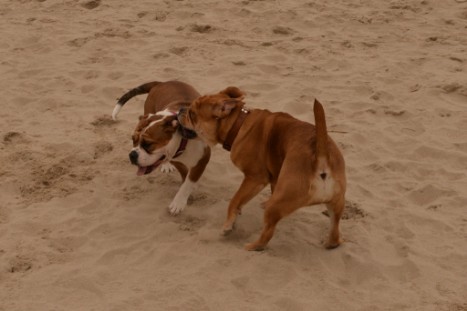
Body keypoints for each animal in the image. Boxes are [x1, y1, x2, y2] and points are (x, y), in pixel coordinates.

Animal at [113, 81, 210, 214]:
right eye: (133, 140)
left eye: (148, 144)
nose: (132, 155)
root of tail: (161, 82)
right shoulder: (174, 157)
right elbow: (184, 174)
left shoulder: (202, 159)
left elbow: (189, 182)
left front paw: (179, 201)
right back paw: (166, 165)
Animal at [179, 87, 348, 251]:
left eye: (192, 113)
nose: (181, 110)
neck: (238, 124)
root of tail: (321, 156)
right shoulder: (274, 177)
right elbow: (246, 199)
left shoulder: (254, 179)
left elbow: (234, 201)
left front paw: (228, 225)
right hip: (336, 204)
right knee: (334, 231)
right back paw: (330, 243)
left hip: (278, 204)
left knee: (268, 233)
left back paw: (253, 246)